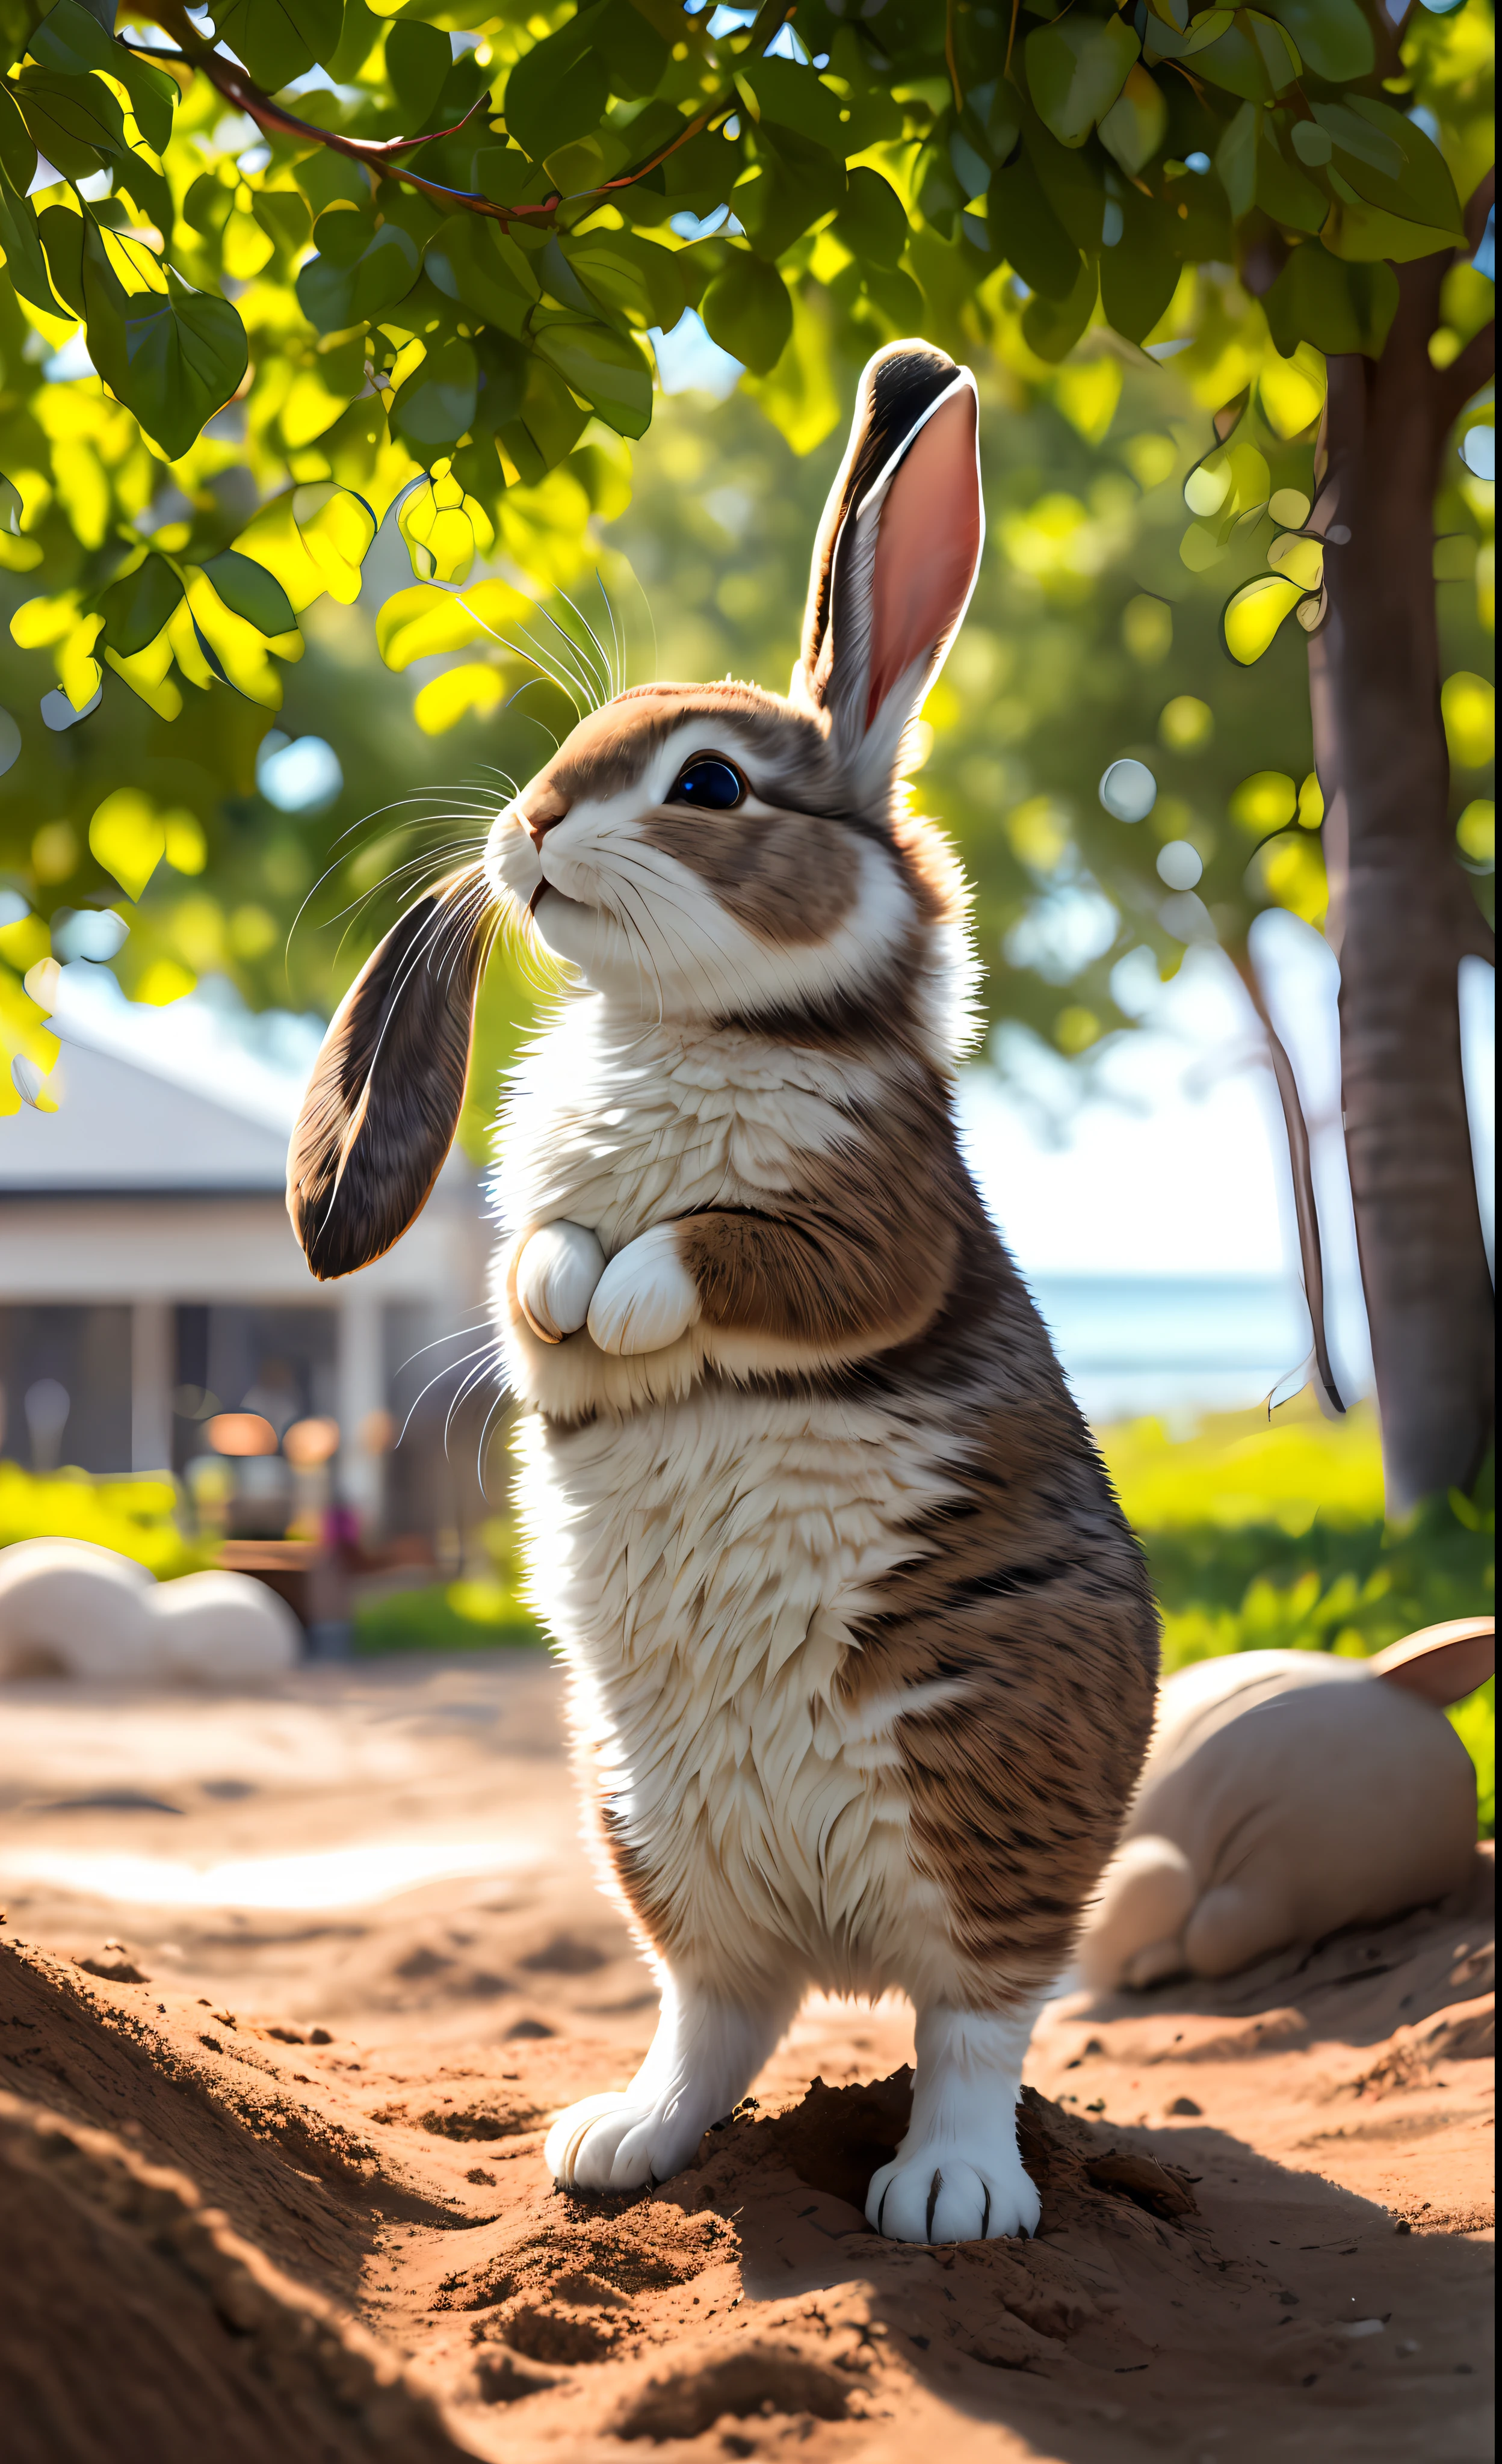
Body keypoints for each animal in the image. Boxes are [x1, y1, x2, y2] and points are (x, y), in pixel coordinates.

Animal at [293, 347, 1159, 2256]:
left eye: (707, 788)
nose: (530, 823)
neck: (693, 1025)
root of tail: (836, 1941)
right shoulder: (524, 1211)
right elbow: (532, 1257)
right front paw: (564, 1317)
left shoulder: (876, 1225)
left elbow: (720, 1253)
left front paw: (625, 1317)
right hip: (646, 1826)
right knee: (720, 2018)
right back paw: (614, 2147)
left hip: (970, 1794)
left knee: (971, 2026)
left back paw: (949, 2199)